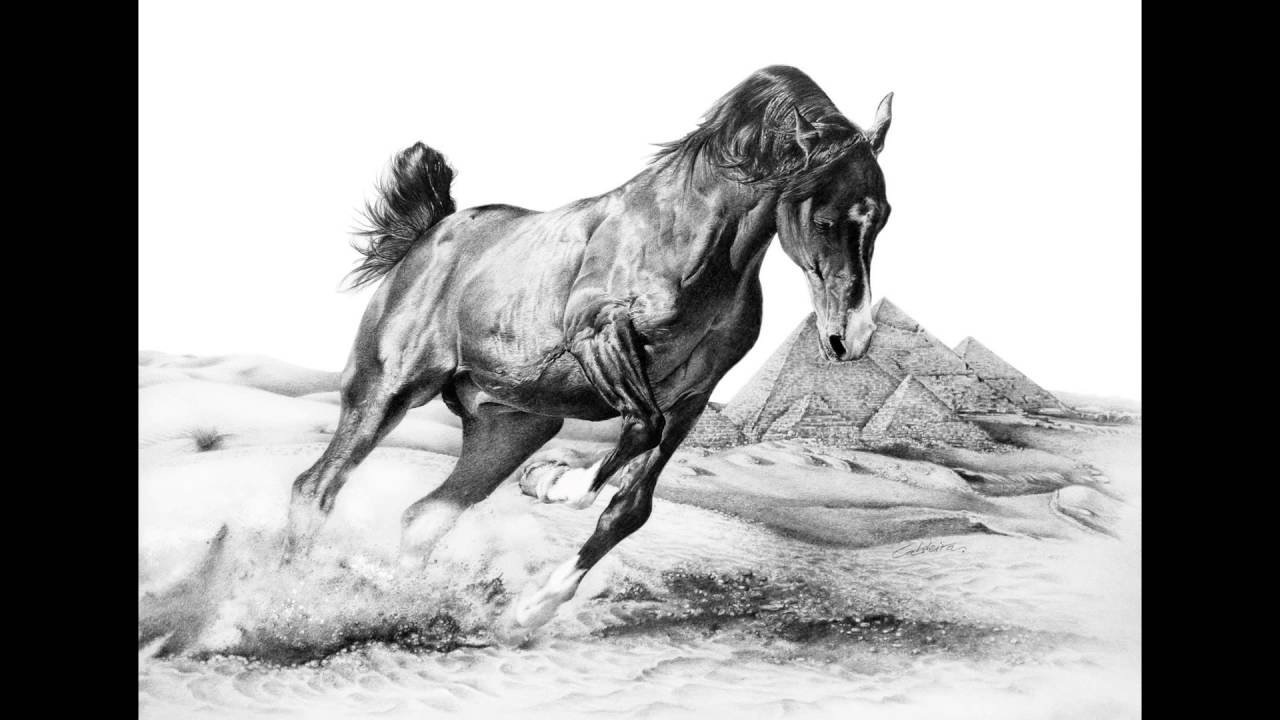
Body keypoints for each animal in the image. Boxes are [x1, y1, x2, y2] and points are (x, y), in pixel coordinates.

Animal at [284, 65, 894, 639]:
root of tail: (428, 235)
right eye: (825, 219)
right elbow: (639, 430)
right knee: (316, 487)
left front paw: (529, 611)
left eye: (883, 215)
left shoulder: (694, 395)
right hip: (387, 393)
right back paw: (293, 603)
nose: (851, 340)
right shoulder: (600, 338)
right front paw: (554, 483)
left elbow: (630, 509)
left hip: (510, 428)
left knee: (424, 515)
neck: (691, 239)